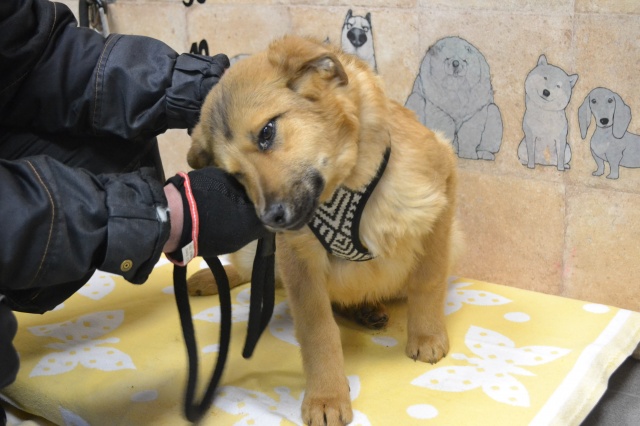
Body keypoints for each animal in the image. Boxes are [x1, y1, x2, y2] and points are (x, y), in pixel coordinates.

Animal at [186, 35, 461, 425]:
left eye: (267, 132)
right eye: (235, 177)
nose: (271, 219)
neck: (345, 184)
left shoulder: (440, 199)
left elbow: (428, 281)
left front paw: (426, 336)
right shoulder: (299, 262)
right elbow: (318, 331)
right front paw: (326, 396)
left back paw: (368, 309)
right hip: (258, 251)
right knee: (253, 273)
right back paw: (211, 277)